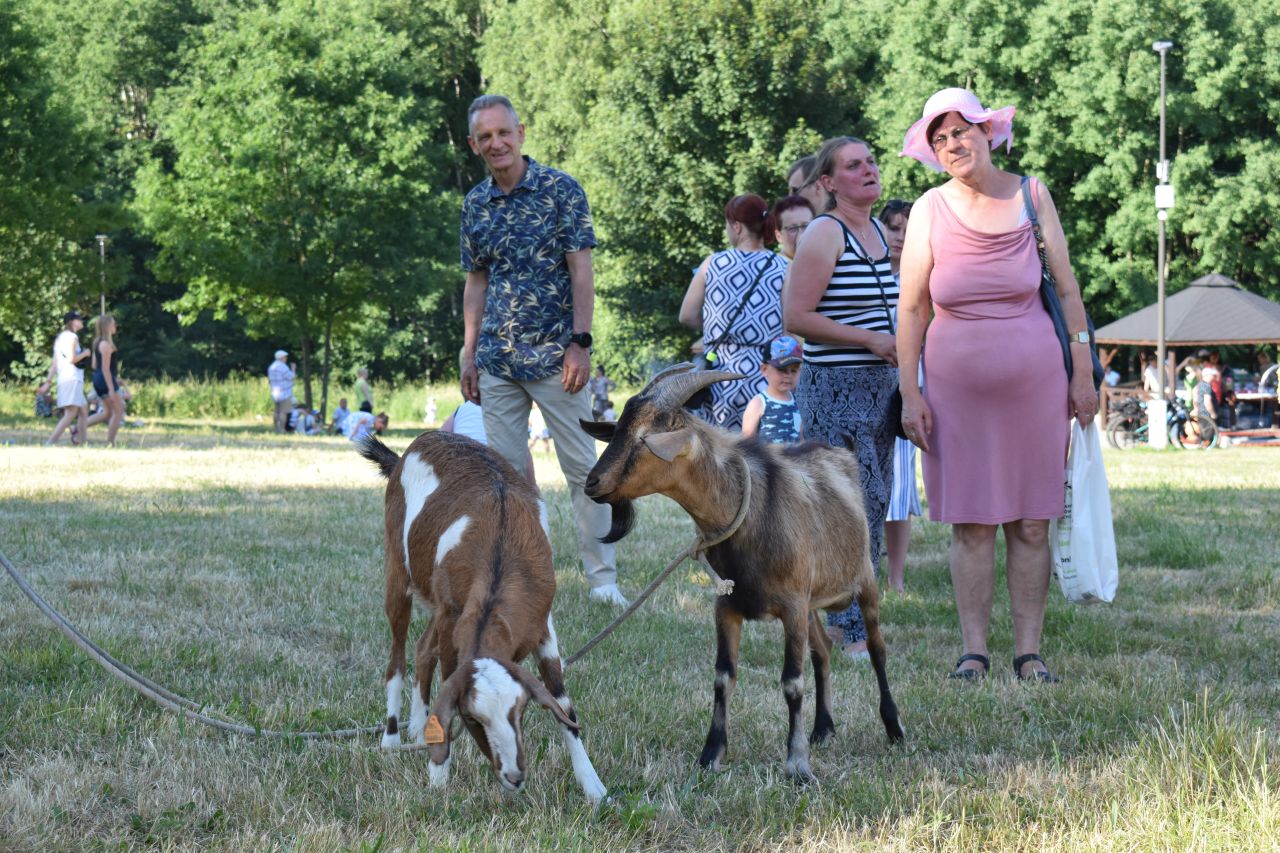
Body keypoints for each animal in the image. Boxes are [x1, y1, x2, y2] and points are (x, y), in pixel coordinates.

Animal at [358, 430, 607, 803]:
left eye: (519, 711)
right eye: (473, 718)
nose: (514, 776)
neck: (502, 548)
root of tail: (418, 443)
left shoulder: (541, 625)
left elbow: (563, 702)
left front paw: (593, 786)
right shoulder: (453, 622)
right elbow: (446, 677)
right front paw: (439, 779)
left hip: (437, 602)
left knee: (422, 648)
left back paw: (417, 727)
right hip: (398, 572)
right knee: (398, 656)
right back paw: (391, 738)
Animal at [579, 364, 904, 779]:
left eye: (644, 437)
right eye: (618, 428)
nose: (592, 483)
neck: (749, 514)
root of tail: (841, 452)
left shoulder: (791, 606)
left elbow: (792, 682)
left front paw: (797, 764)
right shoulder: (728, 606)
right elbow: (723, 677)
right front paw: (710, 754)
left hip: (863, 581)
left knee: (877, 649)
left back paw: (894, 727)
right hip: (812, 601)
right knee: (823, 650)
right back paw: (823, 728)